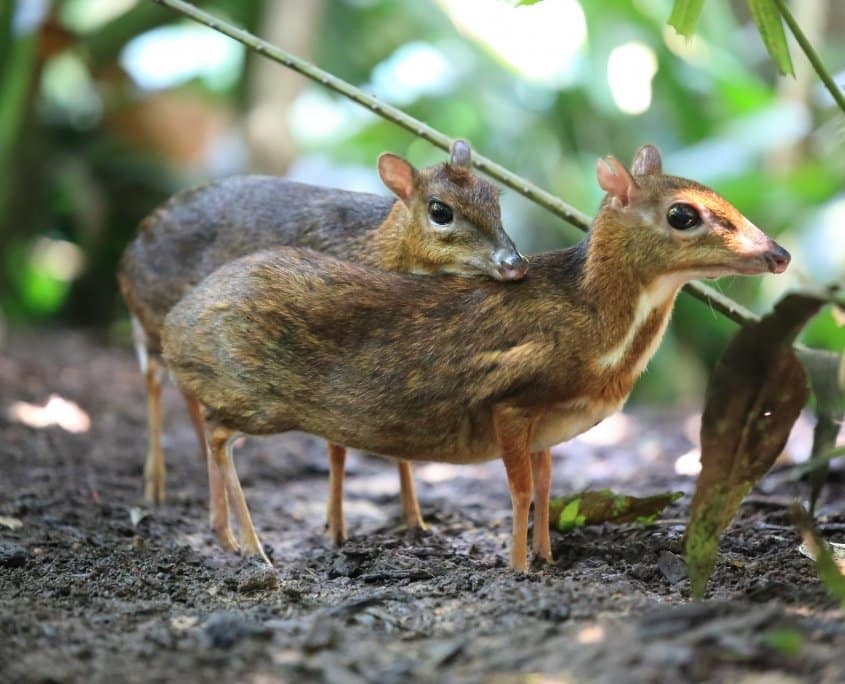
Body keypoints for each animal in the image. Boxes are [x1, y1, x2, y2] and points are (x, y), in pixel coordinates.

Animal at [118, 140, 525, 545]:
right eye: (440, 211)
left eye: (495, 196)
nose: (514, 263)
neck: (375, 248)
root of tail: (128, 253)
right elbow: (337, 449)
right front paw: (335, 528)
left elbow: (397, 447)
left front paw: (415, 522)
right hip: (157, 321)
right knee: (154, 378)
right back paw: (156, 486)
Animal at [161, 145, 790, 570]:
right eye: (683, 214)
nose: (780, 253)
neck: (598, 330)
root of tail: (174, 324)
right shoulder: (510, 401)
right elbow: (518, 490)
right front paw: (516, 567)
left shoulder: (547, 422)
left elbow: (546, 485)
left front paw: (547, 558)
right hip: (255, 399)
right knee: (216, 433)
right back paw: (248, 546)